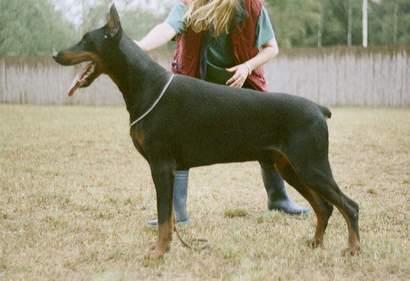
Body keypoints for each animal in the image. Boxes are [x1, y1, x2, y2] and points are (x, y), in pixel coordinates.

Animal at [52, 4, 360, 258]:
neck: (146, 84)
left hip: (311, 165)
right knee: (325, 207)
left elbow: (164, 216)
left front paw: (158, 252)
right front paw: (164, 247)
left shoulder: (161, 165)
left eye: (86, 39)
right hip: (291, 167)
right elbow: (169, 216)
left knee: (349, 206)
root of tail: (319, 108)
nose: (55, 53)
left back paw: (352, 249)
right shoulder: (167, 167)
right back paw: (316, 243)